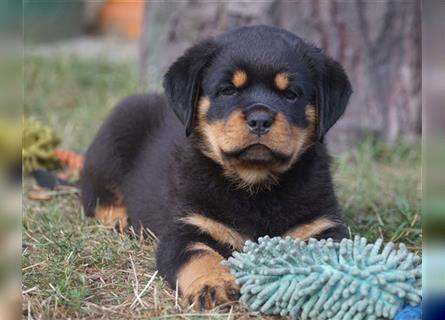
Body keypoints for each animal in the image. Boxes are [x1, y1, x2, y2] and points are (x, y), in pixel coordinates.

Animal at [80, 25, 350, 310]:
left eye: (290, 94)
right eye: (228, 90)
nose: (260, 119)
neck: (255, 184)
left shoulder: (321, 226)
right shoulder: (186, 226)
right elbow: (199, 254)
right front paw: (212, 283)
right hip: (117, 131)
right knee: (92, 194)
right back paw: (119, 218)